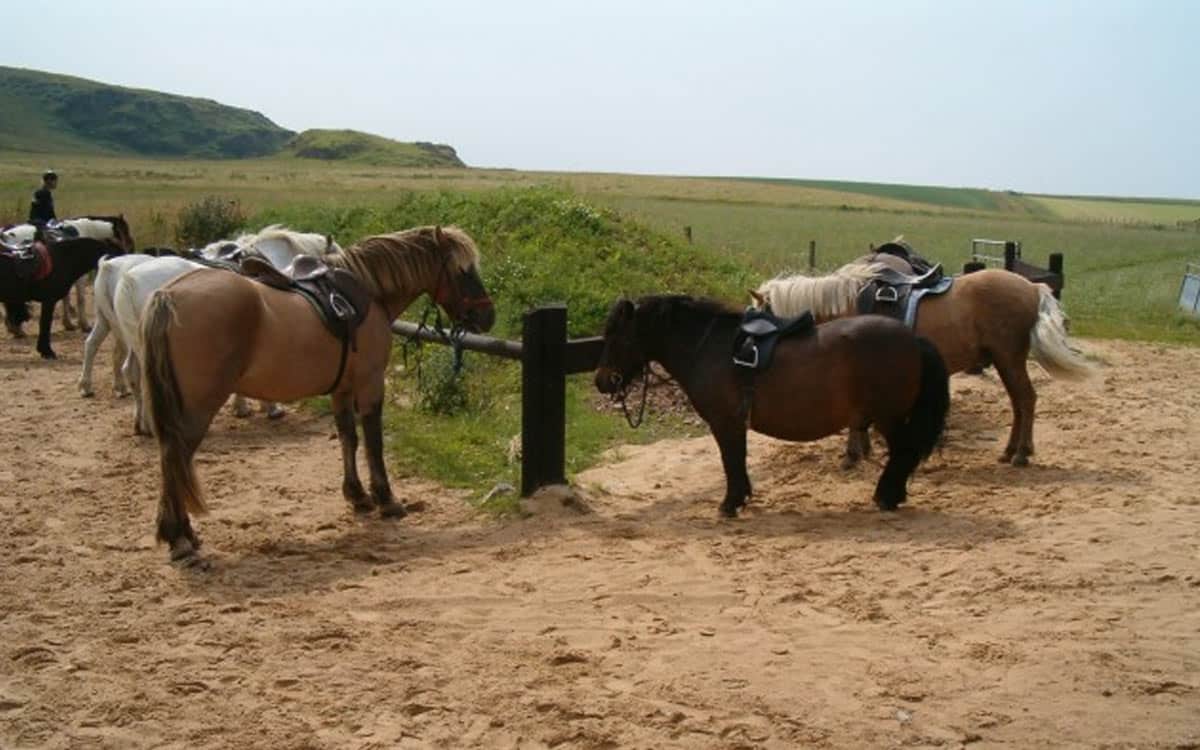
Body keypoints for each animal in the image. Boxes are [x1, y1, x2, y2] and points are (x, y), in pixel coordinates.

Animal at [1, 216, 136, 332]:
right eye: (125, 232)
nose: (131, 250)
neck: (87, 231)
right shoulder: (80, 277)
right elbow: (80, 299)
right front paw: (84, 325)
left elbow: (66, 298)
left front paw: (68, 323)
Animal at [84, 226, 341, 433]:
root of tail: (125, 276)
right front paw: (268, 407)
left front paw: (244, 407)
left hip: (122, 332)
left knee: (117, 362)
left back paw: (139, 421)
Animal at [140, 225, 495, 566]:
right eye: (464, 271)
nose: (488, 316)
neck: (370, 294)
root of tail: (168, 294)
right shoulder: (370, 385)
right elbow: (373, 442)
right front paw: (386, 499)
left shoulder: (342, 389)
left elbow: (348, 437)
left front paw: (357, 495)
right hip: (198, 409)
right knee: (175, 459)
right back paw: (179, 539)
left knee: (173, 460)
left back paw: (182, 534)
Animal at [594, 295, 950, 518]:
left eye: (618, 337)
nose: (602, 381)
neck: (710, 348)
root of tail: (913, 340)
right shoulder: (733, 424)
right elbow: (737, 461)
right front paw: (740, 499)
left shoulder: (725, 423)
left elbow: (730, 461)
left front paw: (730, 504)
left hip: (888, 417)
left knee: (903, 452)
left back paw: (886, 496)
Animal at [751, 255, 1095, 467]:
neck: (846, 306)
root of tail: (1032, 287)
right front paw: (863, 451)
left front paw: (852, 455)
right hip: (1004, 360)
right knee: (1018, 403)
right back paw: (1011, 451)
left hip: (1008, 358)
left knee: (1026, 399)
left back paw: (1021, 454)